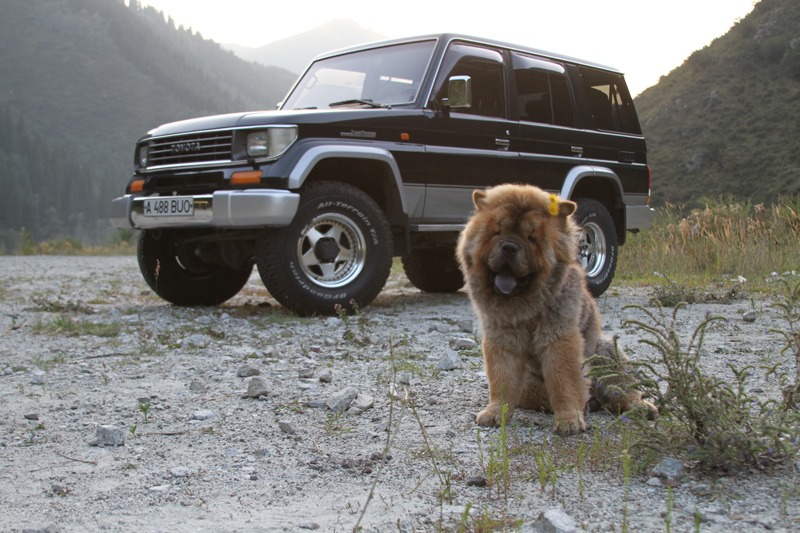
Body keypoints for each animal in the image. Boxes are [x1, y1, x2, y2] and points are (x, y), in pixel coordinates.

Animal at [456, 183, 656, 432]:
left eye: (531, 238)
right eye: (497, 232)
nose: (509, 247)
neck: (526, 305)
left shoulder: (558, 337)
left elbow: (563, 380)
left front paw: (569, 421)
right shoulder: (502, 339)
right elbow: (501, 380)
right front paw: (495, 413)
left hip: (606, 352)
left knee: (622, 389)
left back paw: (642, 407)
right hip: (531, 383)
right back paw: (588, 403)